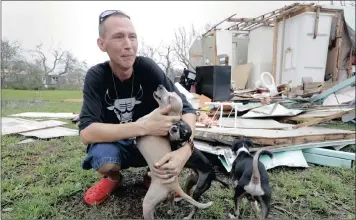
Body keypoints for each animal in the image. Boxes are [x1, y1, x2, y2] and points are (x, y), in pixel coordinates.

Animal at [134, 85, 211, 219]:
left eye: (170, 98)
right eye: (170, 91)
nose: (160, 85)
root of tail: (175, 184)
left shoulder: (140, 125)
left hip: (148, 203)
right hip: (170, 194)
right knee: (171, 201)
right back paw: (170, 209)